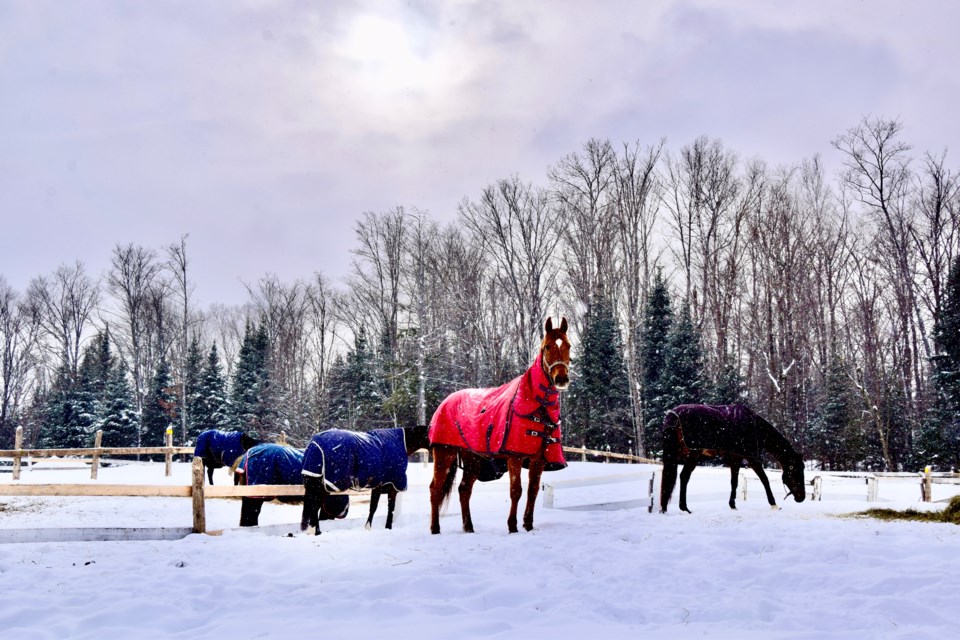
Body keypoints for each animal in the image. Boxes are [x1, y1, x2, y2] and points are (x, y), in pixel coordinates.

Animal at [300, 424, 428, 536]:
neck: (401, 442)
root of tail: (314, 444)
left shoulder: (378, 485)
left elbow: (373, 507)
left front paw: (369, 528)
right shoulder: (392, 485)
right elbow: (388, 508)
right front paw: (386, 527)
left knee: (315, 506)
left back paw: (316, 531)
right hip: (324, 486)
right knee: (315, 506)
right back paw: (316, 532)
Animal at [428, 316, 568, 536]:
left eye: (568, 345)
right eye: (547, 347)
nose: (561, 379)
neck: (538, 406)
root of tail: (444, 403)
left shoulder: (538, 459)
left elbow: (533, 491)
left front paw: (528, 525)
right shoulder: (514, 456)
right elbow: (516, 491)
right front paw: (512, 526)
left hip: (472, 460)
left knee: (464, 490)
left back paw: (469, 527)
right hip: (444, 454)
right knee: (436, 489)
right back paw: (435, 529)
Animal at [656, 404, 808, 516]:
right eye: (795, 471)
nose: (801, 497)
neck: (756, 428)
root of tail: (673, 415)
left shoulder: (735, 458)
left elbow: (734, 482)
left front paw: (733, 505)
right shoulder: (751, 458)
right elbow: (764, 479)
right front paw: (774, 504)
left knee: (675, 477)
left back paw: (671, 508)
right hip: (694, 455)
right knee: (684, 476)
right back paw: (684, 508)